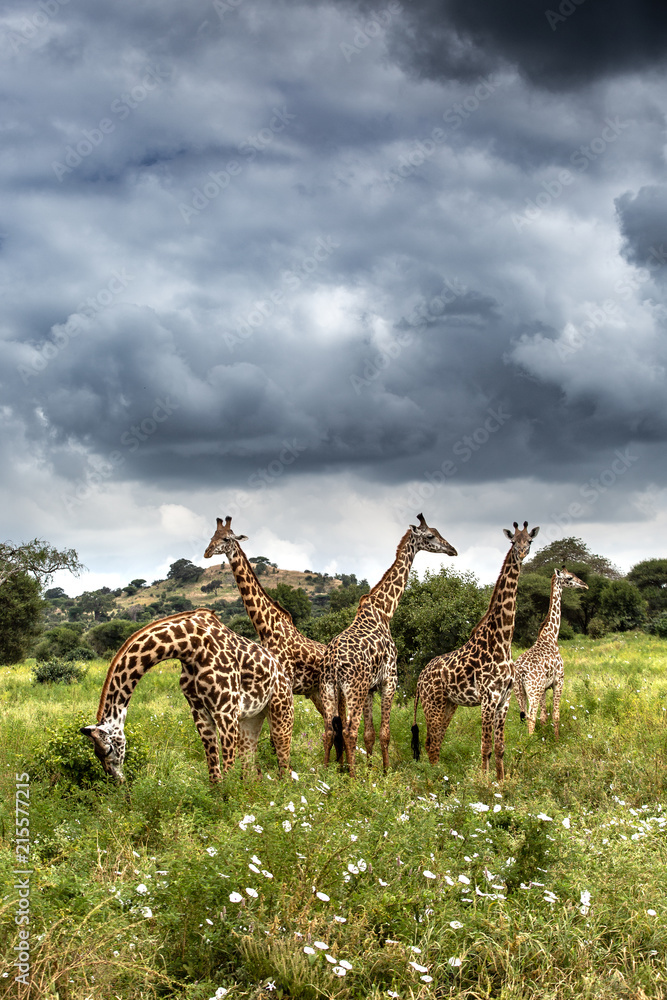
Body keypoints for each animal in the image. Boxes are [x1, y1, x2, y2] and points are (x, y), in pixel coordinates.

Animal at [81, 608, 294, 783]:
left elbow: (228, 769)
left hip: (281, 710)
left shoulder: (225, 710)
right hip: (251, 719)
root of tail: (283, 672)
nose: (116, 781)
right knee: (252, 769)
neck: (189, 647)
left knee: (284, 765)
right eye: (95, 754)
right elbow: (214, 772)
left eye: (108, 749)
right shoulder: (199, 710)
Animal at [204, 516, 331, 717]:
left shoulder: (285, 681)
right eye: (212, 536)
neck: (266, 626)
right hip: (315, 692)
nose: (207, 552)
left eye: (226, 538)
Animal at [321, 514, 457, 777]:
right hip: (353, 688)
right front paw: (384, 773)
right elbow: (384, 732)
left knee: (329, 731)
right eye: (430, 536)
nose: (452, 549)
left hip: (329, 688)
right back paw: (352, 778)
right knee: (349, 730)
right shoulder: (389, 680)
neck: (385, 611)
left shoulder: (370, 689)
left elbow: (370, 734)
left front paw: (371, 770)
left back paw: (322, 774)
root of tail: (333, 662)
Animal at [412, 521, 539, 781]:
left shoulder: (504, 700)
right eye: (513, 541)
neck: (503, 640)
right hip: (433, 703)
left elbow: (500, 748)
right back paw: (434, 780)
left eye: (530, 541)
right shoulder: (488, 698)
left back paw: (438, 775)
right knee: (431, 742)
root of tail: (419, 679)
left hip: (449, 704)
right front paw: (484, 783)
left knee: (436, 741)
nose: (522, 553)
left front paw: (501, 782)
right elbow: (485, 747)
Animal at [514, 566, 588, 738]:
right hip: (533, 691)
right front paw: (556, 740)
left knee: (524, 717)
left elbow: (544, 716)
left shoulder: (544, 688)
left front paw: (545, 738)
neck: (551, 635)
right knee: (530, 717)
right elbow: (555, 714)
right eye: (570, 578)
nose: (585, 585)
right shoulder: (558, 681)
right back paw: (530, 742)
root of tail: (520, 672)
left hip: (519, 692)